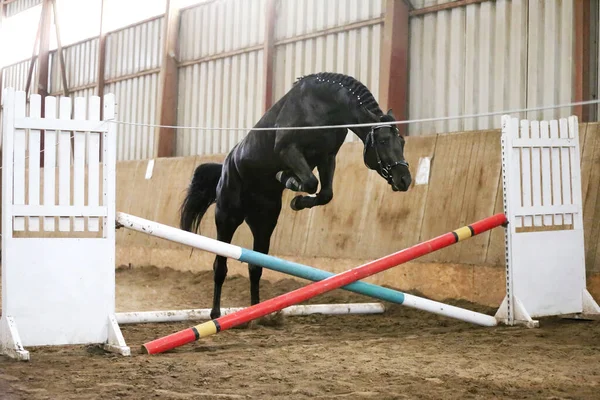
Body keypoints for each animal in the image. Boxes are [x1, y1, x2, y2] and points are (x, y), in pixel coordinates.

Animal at [178, 72, 412, 318]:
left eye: (402, 141)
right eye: (383, 141)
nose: (404, 179)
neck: (323, 107)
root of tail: (225, 166)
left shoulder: (327, 157)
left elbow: (325, 193)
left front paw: (298, 201)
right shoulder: (289, 150)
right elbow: (310, 182)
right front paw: (287, 179)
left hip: (264, 222)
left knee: (255, 266)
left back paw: (256, 315)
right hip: (227, 218)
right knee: (220, 265)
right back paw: (216, 314)